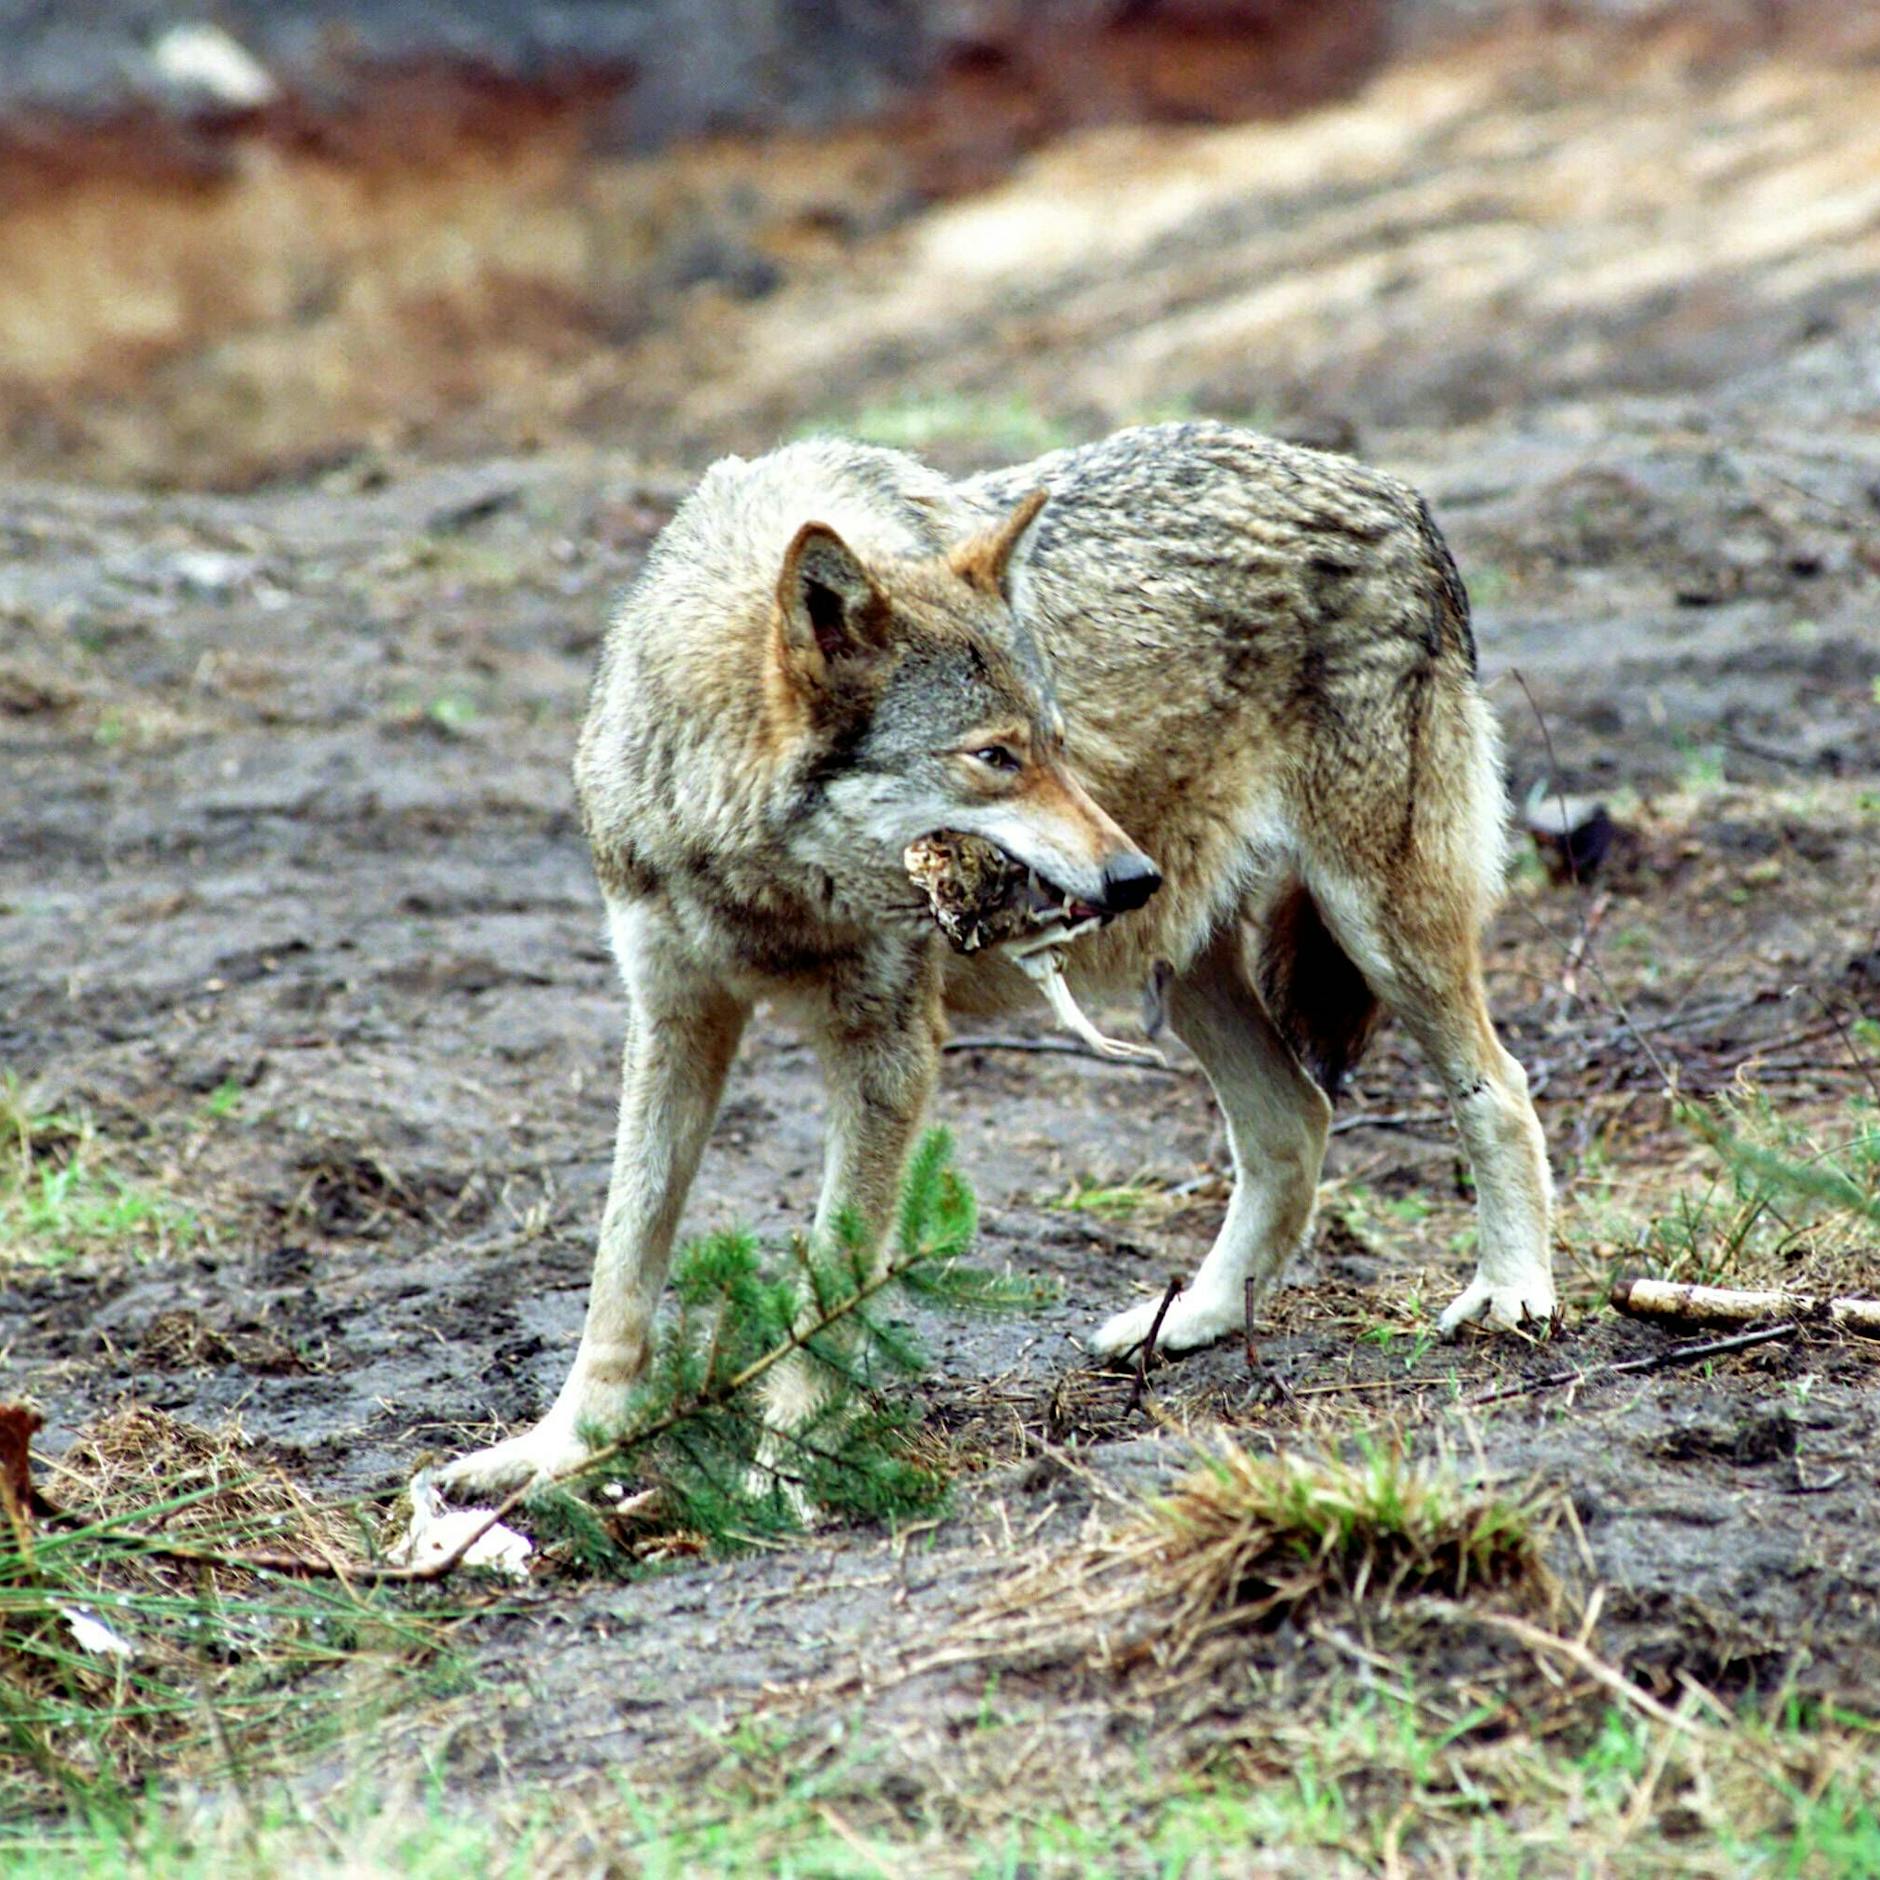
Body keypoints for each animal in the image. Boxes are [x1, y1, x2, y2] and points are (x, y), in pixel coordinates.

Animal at [440, 421, 1555, 1496]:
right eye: (995, 757)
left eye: (1055, 741)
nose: (1130, 874)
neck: (759, 875)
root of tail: (1394, 491)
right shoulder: (673, 1016)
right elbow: (621, 1266)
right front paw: (562, 1449)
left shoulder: (888, 1048)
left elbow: (830, 1277)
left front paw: (788, 1467)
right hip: (1184, 964)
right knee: (1296, 1120)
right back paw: (1196, 1319)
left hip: (1374, 925)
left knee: (1498, 1088)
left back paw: (1513, 1292)